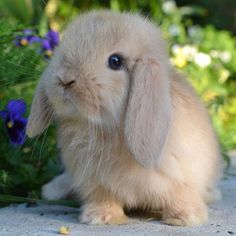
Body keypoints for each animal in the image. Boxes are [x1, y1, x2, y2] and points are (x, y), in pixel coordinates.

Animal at [26, 11, 222, 227]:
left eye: (115, 61)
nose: (65, 79)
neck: (110, 130)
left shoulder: (182, 177)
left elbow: (181, 196)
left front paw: (186, 218)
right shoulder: (95, 181)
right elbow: (104, 197)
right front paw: (101, 217)